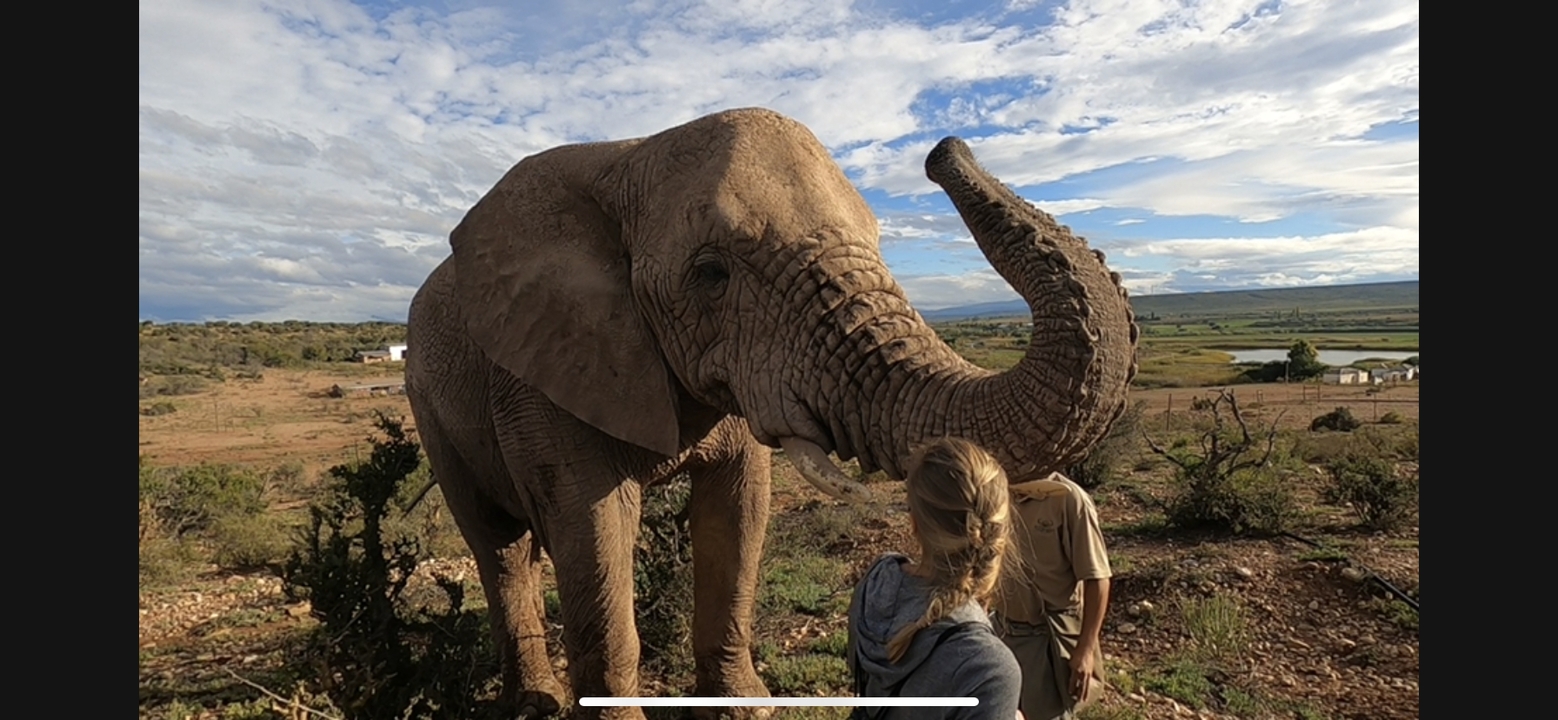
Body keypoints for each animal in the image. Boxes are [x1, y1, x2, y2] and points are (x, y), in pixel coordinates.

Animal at [403, 107, 1138, 720]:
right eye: (710, 274)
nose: (943, 149)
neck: (628, 155)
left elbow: (738, 509)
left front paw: (746, 710)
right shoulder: (545, 366)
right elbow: (595, 527)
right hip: (429, 404)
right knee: (497, 544)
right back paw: (533, 703)